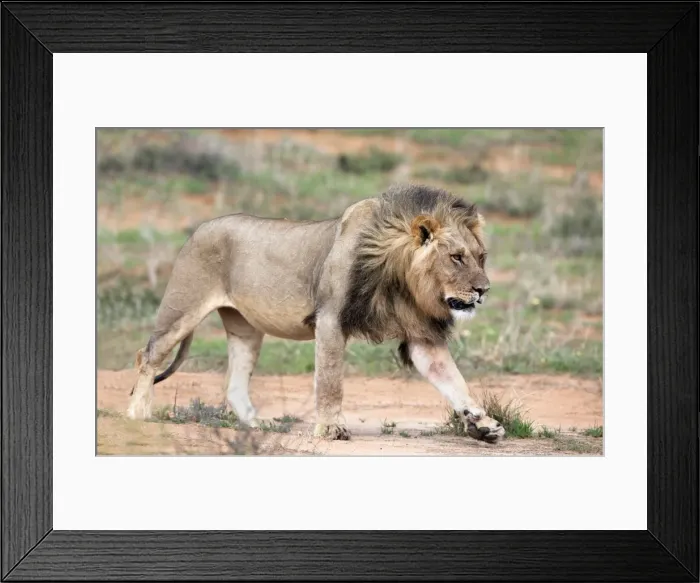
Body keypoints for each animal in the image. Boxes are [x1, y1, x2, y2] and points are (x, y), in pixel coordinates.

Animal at [126, 183, 505, 444]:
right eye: (456, 257)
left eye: (481, 257)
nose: (484, 290)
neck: (402, 282)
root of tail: (199, 229)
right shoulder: (330, 320)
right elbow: (330, 381)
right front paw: (331, 428)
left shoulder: (421, 335)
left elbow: (454, 380)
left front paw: (482, 422)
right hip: (182, 307)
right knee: (148, 355)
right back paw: (137, 414)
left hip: (245, 329)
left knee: (233, 382)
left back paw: (254, 427)